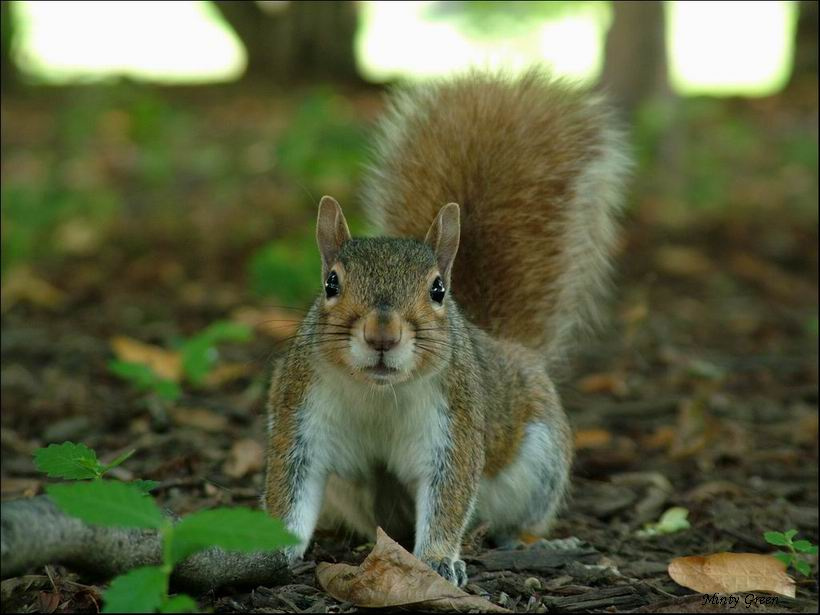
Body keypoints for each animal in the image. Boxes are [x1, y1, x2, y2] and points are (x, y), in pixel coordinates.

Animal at [264, 70, 630, 586]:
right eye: (331, 283)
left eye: (438, 290)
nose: (382, 335)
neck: (380, 394)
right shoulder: (301, 414)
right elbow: (292, 487)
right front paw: (269, 546)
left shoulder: (454, 422)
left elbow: (449, 494)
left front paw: (438, 558)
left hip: (539, 464)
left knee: (515, 522)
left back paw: (534, 542)